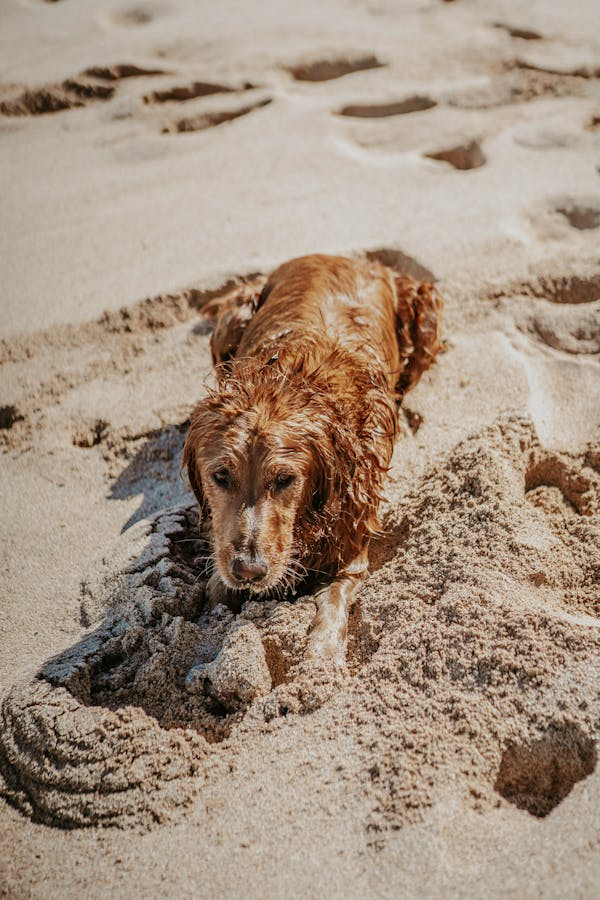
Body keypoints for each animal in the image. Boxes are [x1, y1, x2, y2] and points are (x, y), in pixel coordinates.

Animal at [183, 253, 440, 668]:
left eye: (285, 480)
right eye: (220, 476)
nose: (249, 571)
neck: (290, 380)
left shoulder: (351, 545)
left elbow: (333, 601)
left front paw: (321, 658)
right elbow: (216, 589)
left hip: (425, 312)